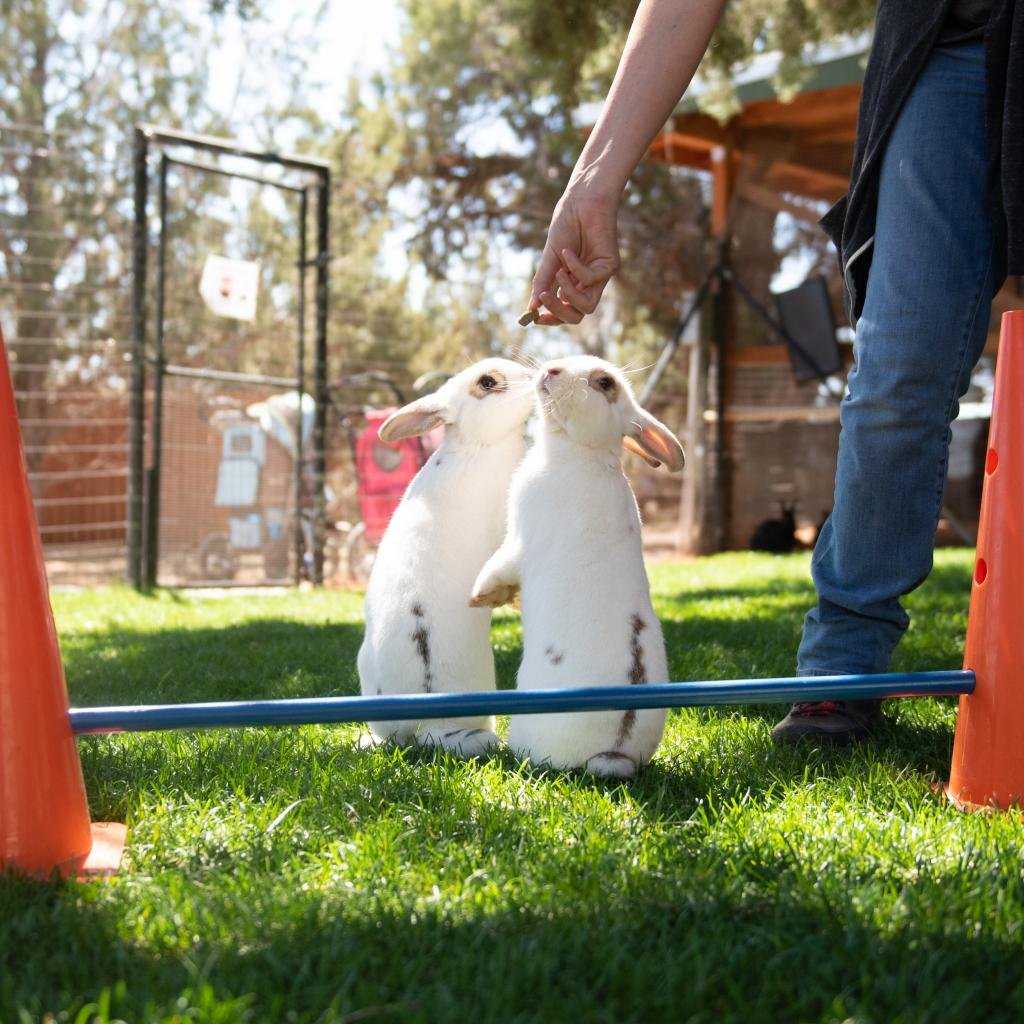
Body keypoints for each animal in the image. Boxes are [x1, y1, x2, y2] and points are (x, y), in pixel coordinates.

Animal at [468, 356, 679, 778]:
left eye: (604, 383)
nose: (551, 370)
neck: (578, 450)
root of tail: (612, 753)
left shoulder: (518, 541)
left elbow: (498, 567)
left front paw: (479, 596)